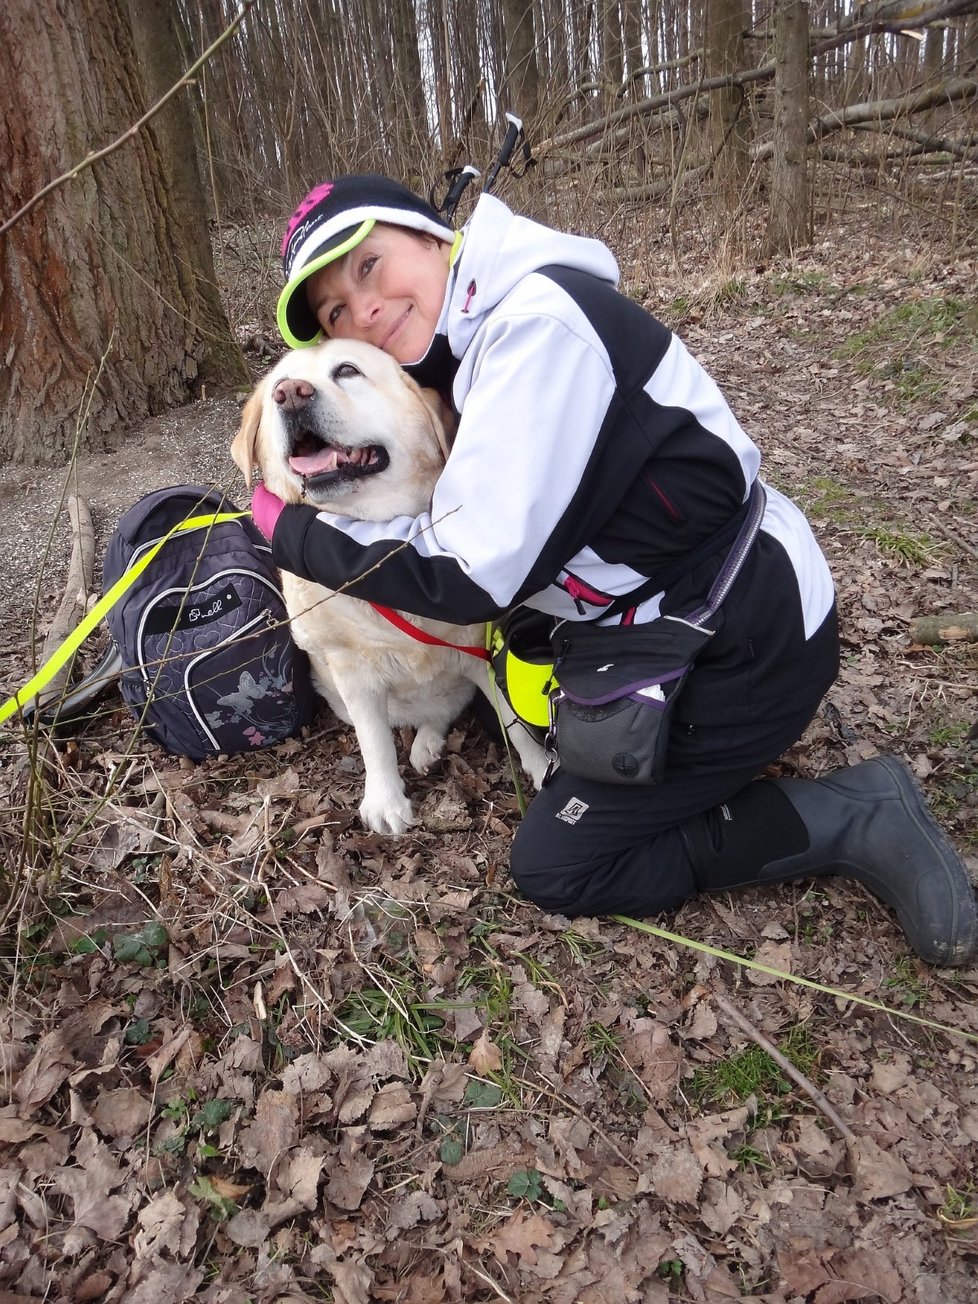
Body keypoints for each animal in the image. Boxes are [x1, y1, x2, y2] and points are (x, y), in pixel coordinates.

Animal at [232, 341, 547, 829]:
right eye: (275, 390)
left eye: (347, 371)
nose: (290, 394)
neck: (383, 535)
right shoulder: (352, 675)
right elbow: (374, 739)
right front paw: (385, 800)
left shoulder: (478, 652)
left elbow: (513, 721)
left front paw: (538, 763)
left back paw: (427, 743)